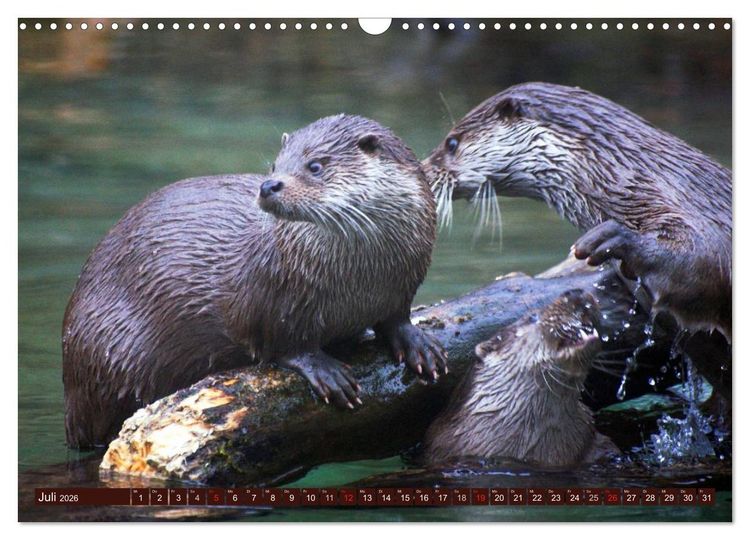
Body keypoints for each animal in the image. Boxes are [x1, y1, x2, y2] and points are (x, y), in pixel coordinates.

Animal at [63, 114, 447, 448]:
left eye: (315, 166)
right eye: (275, 165)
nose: (268, 185)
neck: (361, 282)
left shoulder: (403, 283)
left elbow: (396, 317)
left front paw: (417, 343)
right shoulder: (273, 297)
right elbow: (282, 343)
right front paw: (324, 370)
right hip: (109, 356)